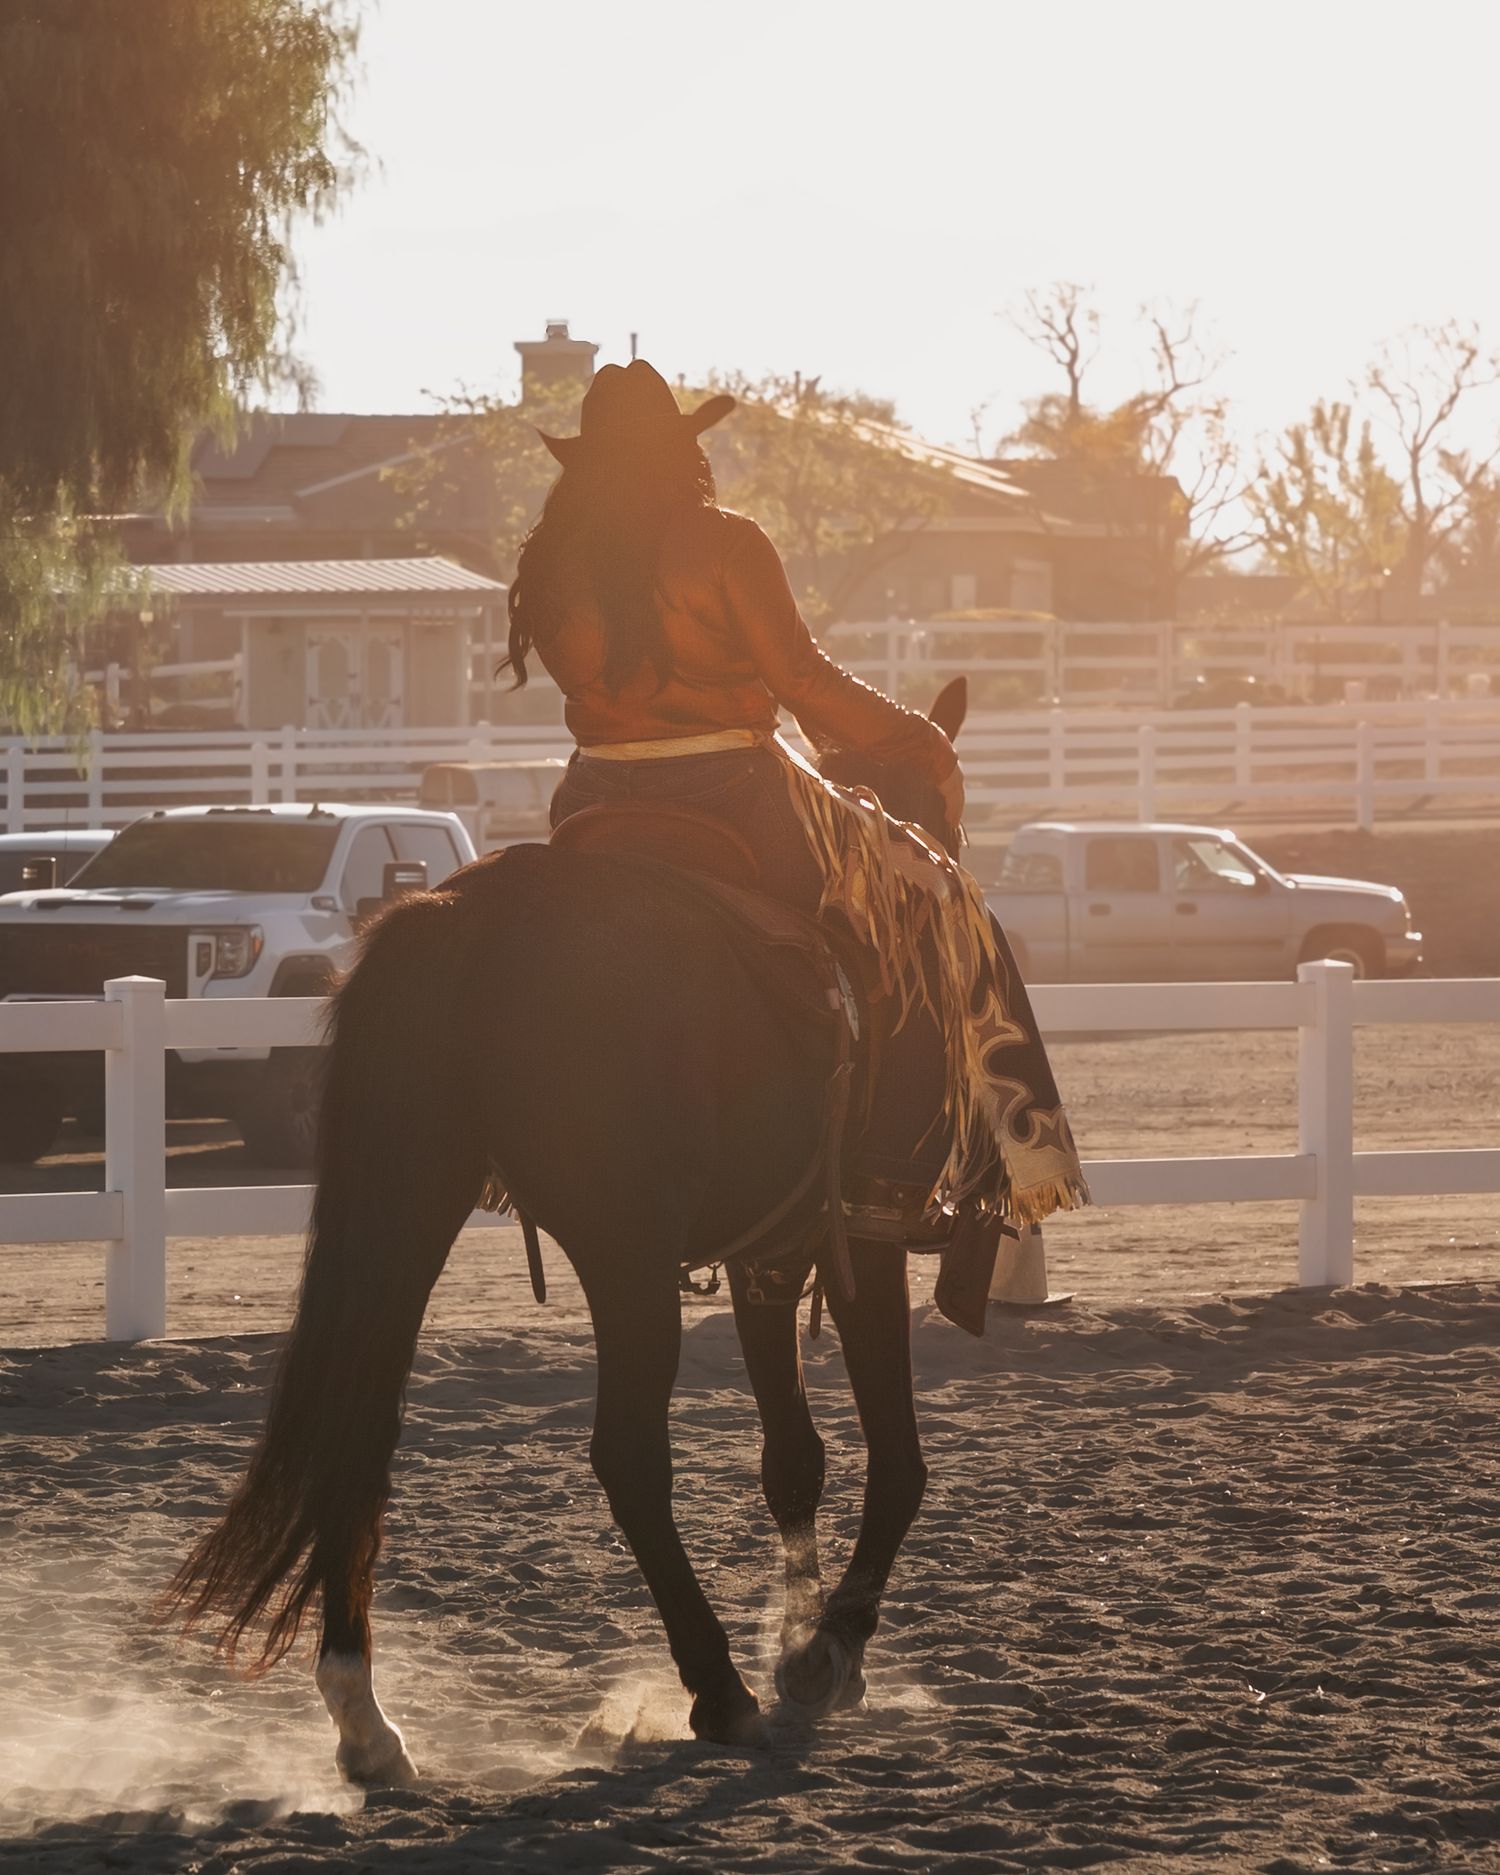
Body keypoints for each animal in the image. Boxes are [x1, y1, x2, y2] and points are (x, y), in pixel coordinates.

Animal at [168, 678, 972, 1783]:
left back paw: (365, 1720)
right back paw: (718, 1691)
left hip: (412, 1217)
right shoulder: (868, 1232)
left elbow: (794, 1458)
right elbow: (896, 1459)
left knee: (360, 1429)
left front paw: (800, 1632)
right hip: (624, 1253)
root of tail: (468, 919)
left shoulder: (769, 1251)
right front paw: (827, 1649)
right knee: (629, 1455)